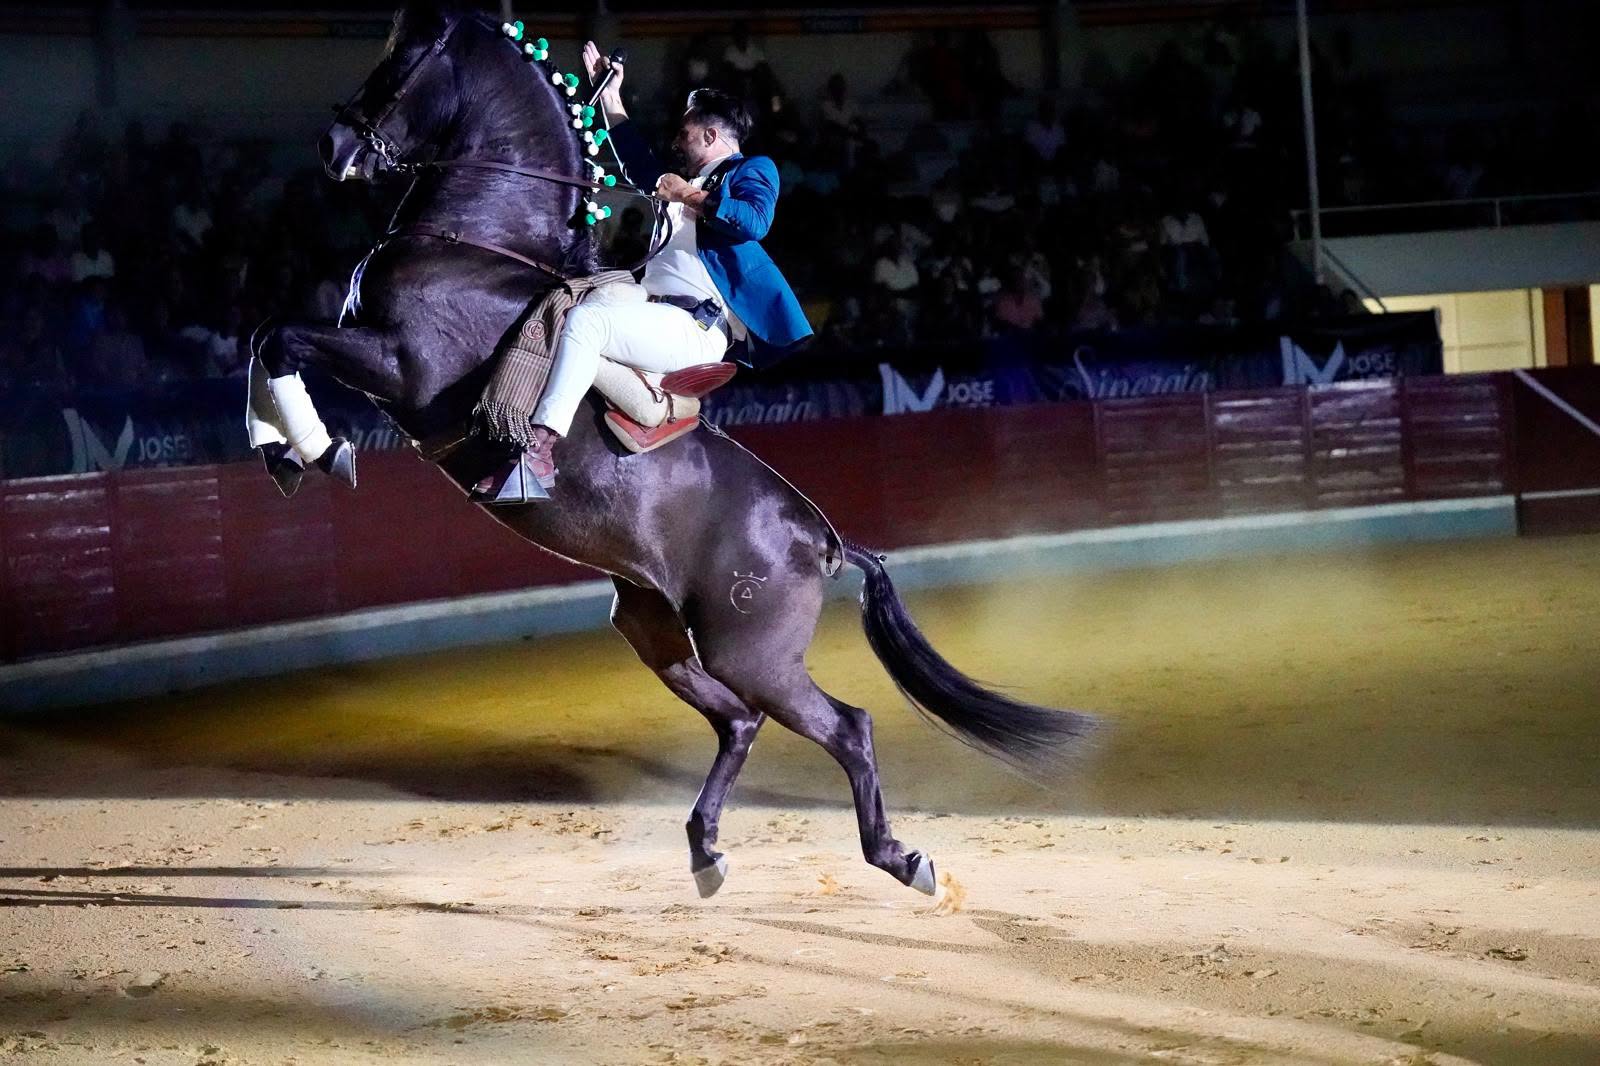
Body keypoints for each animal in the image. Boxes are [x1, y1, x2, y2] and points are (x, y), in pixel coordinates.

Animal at [252, 2, 1096, 898]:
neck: (475, 245)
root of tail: (823, 539)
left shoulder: (400, 367)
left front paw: (319, 451)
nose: (333, 148)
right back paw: (706, 851)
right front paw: (287, 454)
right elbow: (268, 340)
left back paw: (899, 859)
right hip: (653, 626)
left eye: (402, 64)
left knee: (845, 726)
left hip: (750, 651)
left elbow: (278, 338)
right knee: (740, 722)